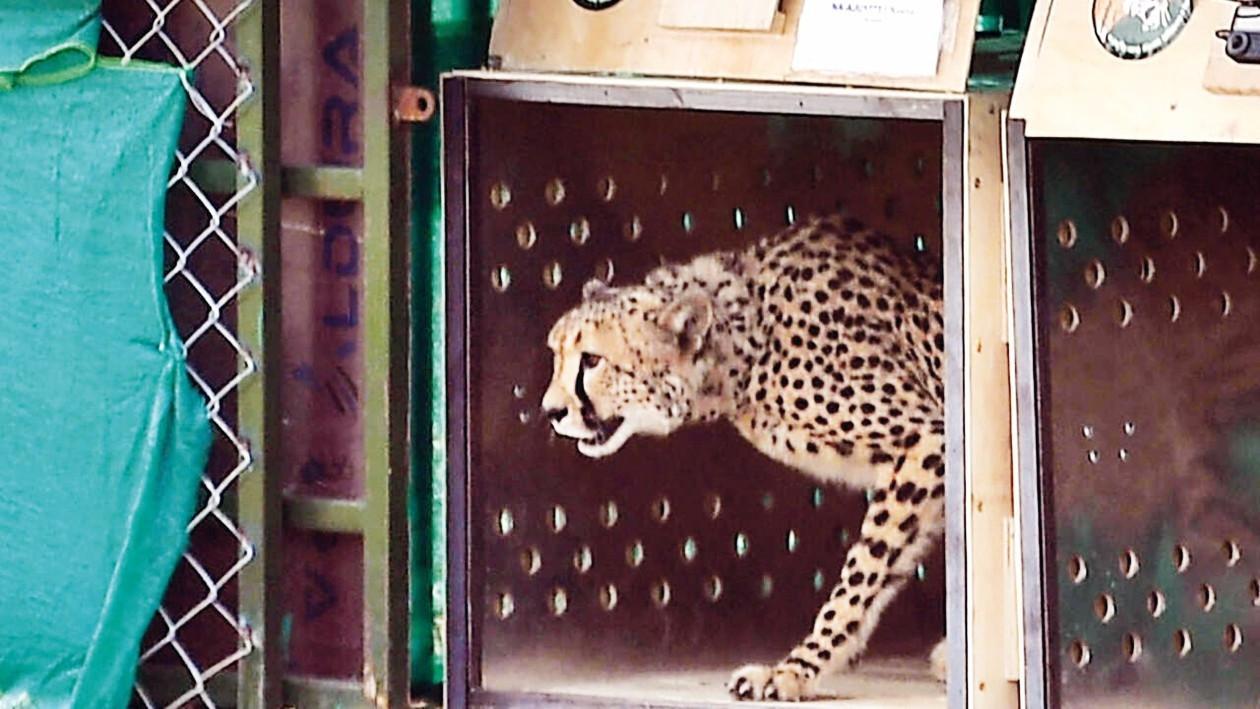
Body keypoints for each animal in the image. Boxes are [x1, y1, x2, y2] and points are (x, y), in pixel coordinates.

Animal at [540, 213, 947, 701]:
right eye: (556, 354)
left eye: (593, 360)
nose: (551, 411)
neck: (747, 345)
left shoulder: (929, 437)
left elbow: (863, 572)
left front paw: (797, 669)